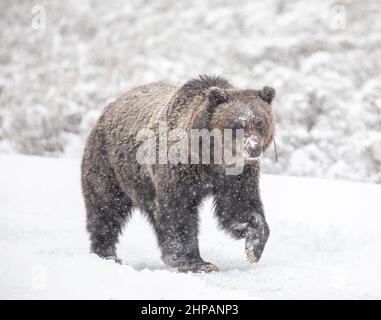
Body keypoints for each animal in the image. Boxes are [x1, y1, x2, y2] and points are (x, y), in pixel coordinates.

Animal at [81, 75, 274, 272]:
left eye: (260, 123)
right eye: (237, 125)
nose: (254, 148)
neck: (211, 161)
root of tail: (109, 107)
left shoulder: (237, 176)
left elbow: (240, 206)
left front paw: (253, 246)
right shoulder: (179, 171)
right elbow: (179, 212)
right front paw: (197, 263)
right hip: (110, 165)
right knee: (106, 208)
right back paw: (107, 254)